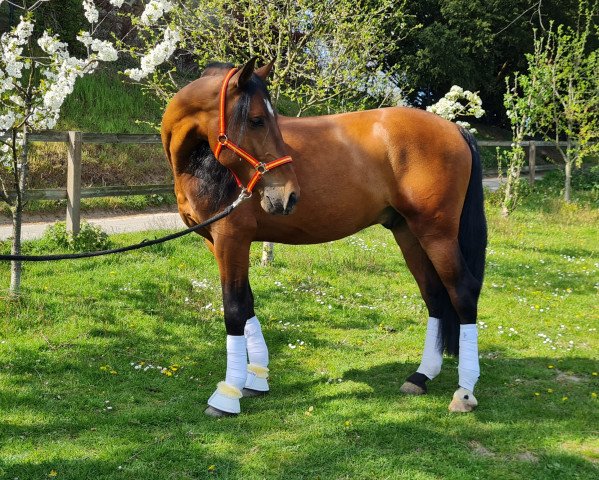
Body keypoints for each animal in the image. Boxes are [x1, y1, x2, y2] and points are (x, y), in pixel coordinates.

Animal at [163, 57, 488, 416]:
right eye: (257, 120)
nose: (289, 195)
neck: (201, 164)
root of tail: (454, 129)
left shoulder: (231, 239)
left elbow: (234, 309)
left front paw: (227, 396)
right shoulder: (217, 242)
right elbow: (246, 303)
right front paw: (256, 380)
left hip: (436, 232)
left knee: (462, 292)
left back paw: (464, 392)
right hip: (409, 231)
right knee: (433, 295)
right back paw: (420, 376)